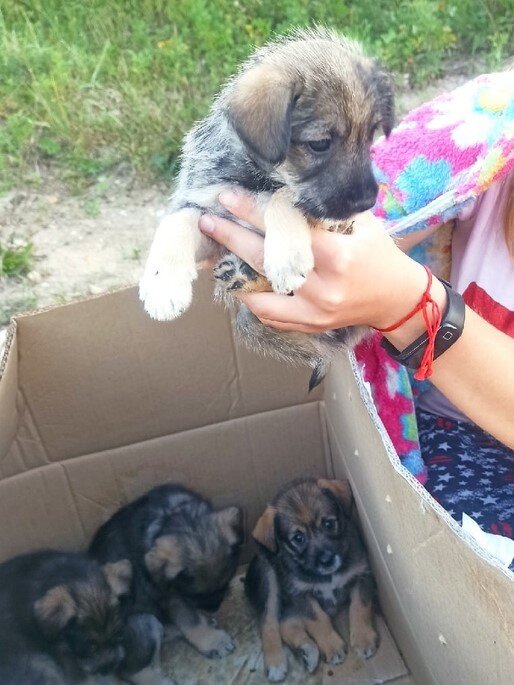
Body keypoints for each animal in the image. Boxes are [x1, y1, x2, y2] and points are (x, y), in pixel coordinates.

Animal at [89, 480, 243, 684]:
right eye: (195, 595)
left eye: (225, 585)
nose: (213, 608)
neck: (173, 515)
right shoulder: (172, 596)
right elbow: (190, 620)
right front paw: (213, 641)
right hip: (142, 622)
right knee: (130, 671)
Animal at [244, 478, 376, 680]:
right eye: (298, 538)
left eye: (329, 524)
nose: (327, 560)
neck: (328, 575)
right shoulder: (300, 593)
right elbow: (318, 619)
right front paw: (331, 645)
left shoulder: (361, 575)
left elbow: (359, 607)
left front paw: (363, 638)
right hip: (268, 577)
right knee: (269, 623)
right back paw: (276, 663)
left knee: (285, 623)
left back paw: (308, 651)